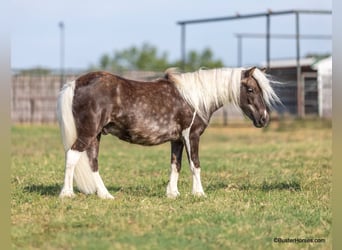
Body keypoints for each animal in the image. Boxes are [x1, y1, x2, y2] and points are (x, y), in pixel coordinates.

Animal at [56, 66, 280, 199]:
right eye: (250, 89)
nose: (264, 119)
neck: (194, 98)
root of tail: (76, 83)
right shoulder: (191, 136)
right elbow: (195, 165)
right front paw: (199, 193)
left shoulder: (177, 140)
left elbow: (176, 165)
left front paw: (173, 193)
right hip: (88, 133)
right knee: (72, 156)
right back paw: (67, 194)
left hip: (96, 135)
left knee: (92, 162)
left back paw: (105, 195)